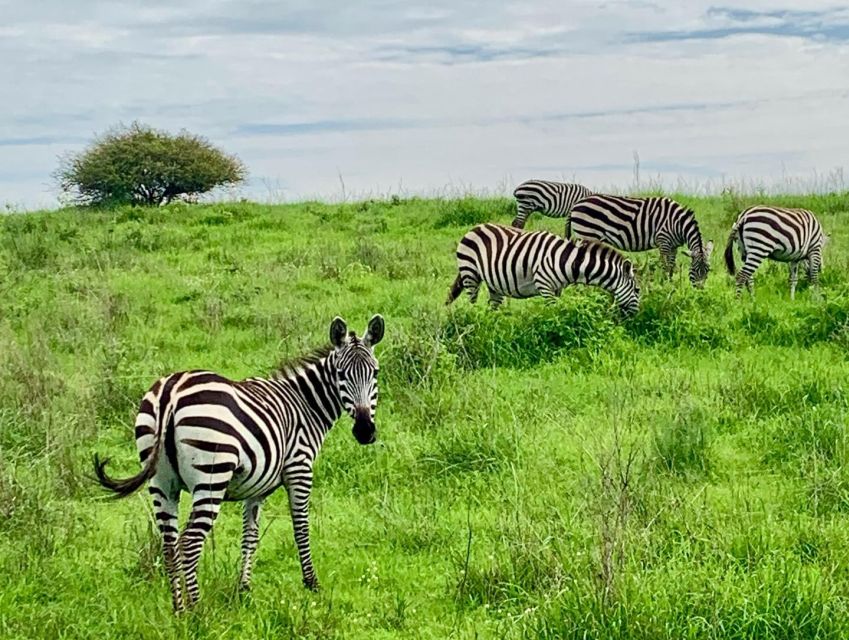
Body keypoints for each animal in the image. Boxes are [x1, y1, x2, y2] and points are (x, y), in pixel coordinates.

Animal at [93, 318, 384, 612]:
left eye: (375, 373)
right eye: (341, 374)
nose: (364, 431)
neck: (304, 405)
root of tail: (170, 393)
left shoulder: (256, 488)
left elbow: (250, 535)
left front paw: (244, 589)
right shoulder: (299, 469)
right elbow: (301, 527)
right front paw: (312, 583)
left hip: (161, 482)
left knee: (169, 544)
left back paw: (179, 609)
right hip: (211, 476)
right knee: (190, 542)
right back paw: (197, 610)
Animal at [448, 222, 640, 318]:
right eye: (638, 290)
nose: (636, 316)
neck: (568, 261)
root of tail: (474, 228)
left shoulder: (557, 289)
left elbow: (559, 310)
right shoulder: (544, 285)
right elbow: (553, 311)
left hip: (494, 283)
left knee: (492, 306)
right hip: (470, 273)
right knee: (472, 303)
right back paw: (476, 321)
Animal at [568, 192, 712, 288]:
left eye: (708, 271)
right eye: (695, 270)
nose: (700, 292)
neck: (678, 223)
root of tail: (576, 204)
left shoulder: (673, 246)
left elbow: (671, 266)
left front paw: (670, 284)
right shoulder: (663, 241)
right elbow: (665, 266)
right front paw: (664, 285)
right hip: (587, 234)